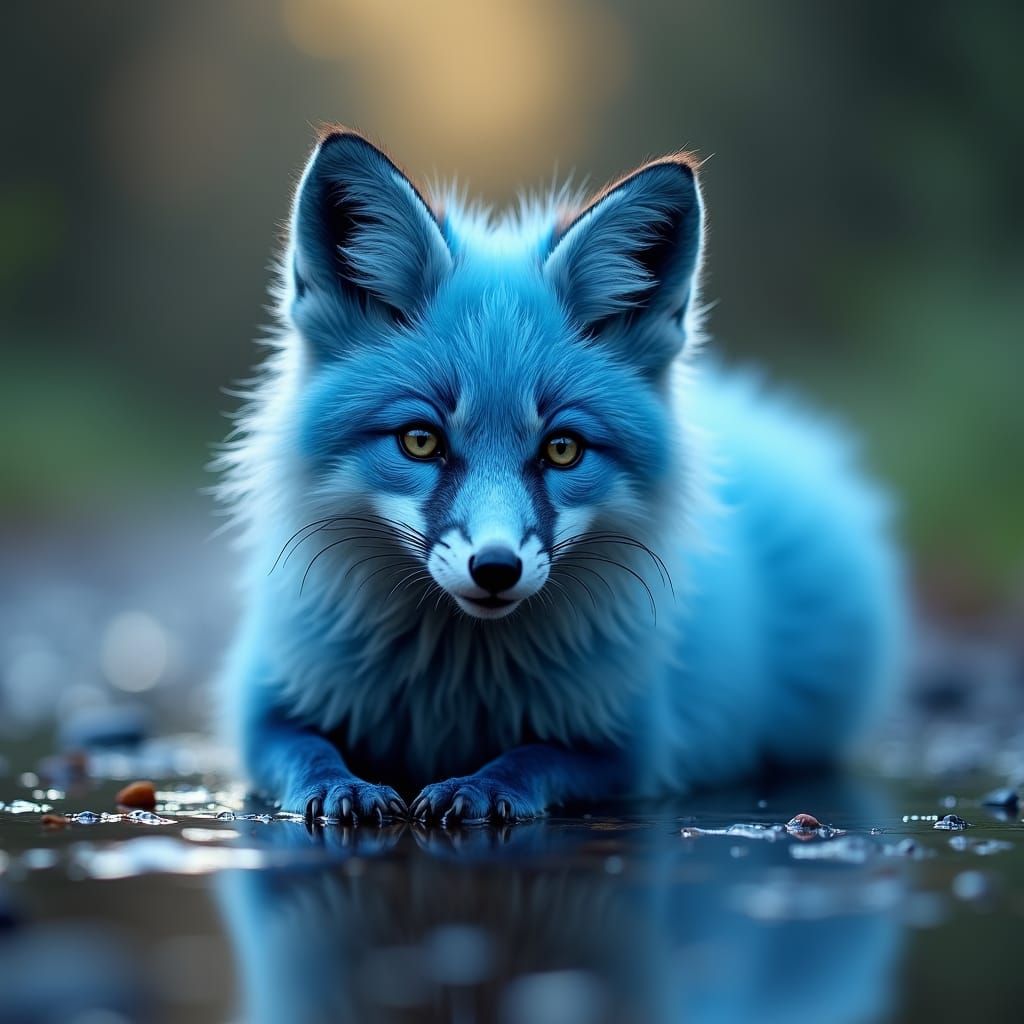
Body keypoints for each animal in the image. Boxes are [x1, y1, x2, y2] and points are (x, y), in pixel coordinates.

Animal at [216, 128, 905, 826]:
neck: (454, 687)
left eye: (563, 450)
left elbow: (533, 758)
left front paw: (481, 788)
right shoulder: (261, 705)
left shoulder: (631, 748)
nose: (496, 569)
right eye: (420, 440)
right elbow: (307, 751)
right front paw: (343, 788)